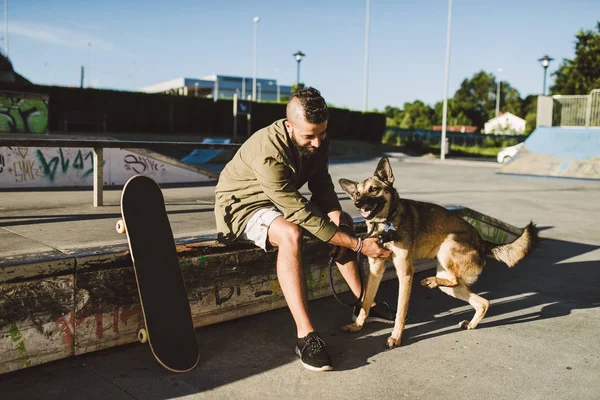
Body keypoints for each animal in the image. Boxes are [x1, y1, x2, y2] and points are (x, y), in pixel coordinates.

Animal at [338, 156, 540, 346]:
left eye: (373, 189)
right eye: (357, 193)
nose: (357, 203)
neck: (384, 224)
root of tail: (482, 241)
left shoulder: (405, 272)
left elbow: (401, 310)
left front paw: (396, 337)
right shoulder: (375, 270)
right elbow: (365, 302)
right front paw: (357, 325)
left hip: (448, 245)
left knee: (455, 281)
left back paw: (431, 281)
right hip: (451, 286)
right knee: (482, 302)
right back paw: (470, 321)